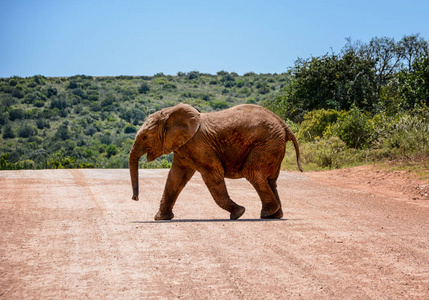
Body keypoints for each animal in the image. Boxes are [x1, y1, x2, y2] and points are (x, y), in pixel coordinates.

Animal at [129, 103, 302, 220]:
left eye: (144, 137)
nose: (135, 198)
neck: (170, 114)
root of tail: (284, 126)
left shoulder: (198, 145)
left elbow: (213, 177)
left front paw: (238, 213)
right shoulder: (185, 147)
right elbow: (175, 178)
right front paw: (160, 218)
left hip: (266, 143)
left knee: (253, 173)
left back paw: (266, 214)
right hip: (273, 145)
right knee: (270, 180)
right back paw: (274, 215)